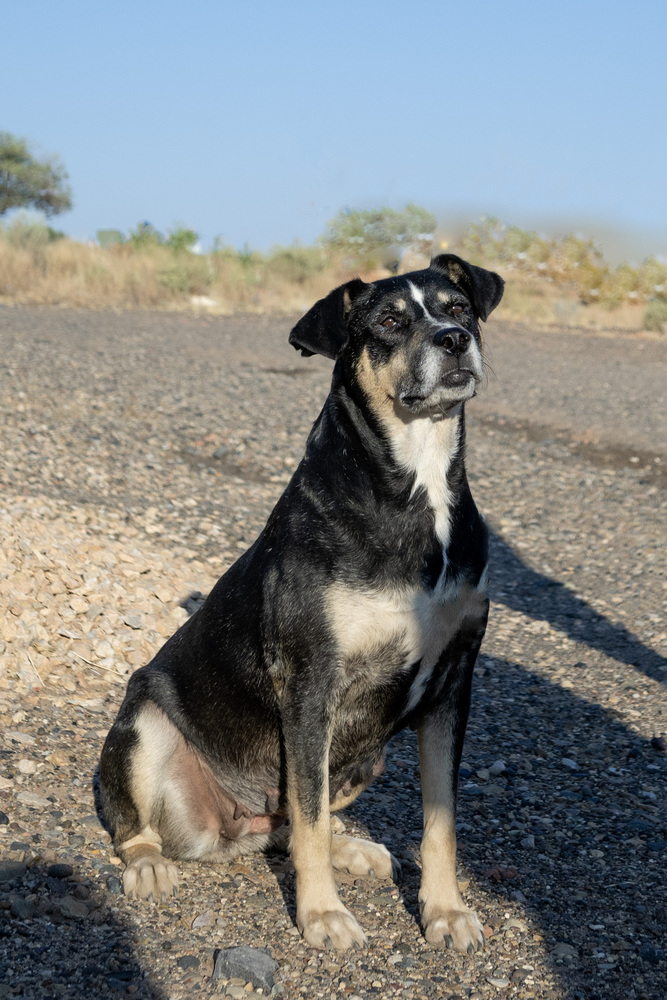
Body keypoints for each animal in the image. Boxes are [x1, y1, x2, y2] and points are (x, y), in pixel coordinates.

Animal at [98, 252, 506, 952]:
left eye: (457, 307)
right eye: (390, 321)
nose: (455, 341)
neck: (416, 486)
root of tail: (232, 823)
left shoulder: (453, 685)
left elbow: (440, 821)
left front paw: (445, 911)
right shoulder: (314, 682)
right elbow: (310, 818)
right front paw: (321, 915)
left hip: (367, 755)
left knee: (291, 822)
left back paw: (352, 848)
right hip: (144, 723)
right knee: (146, 826)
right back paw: (150, 864)